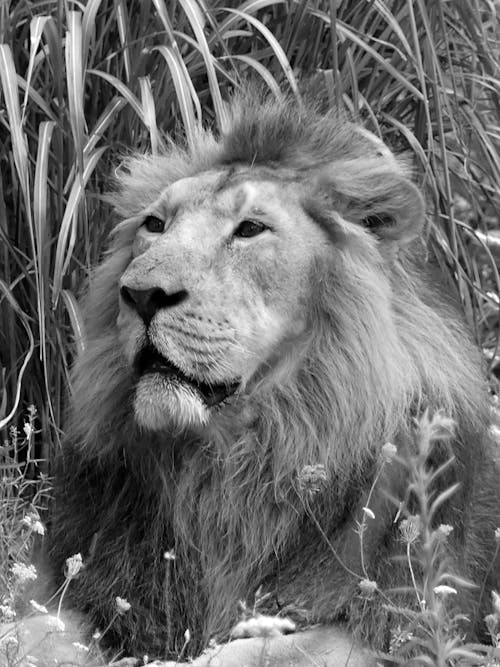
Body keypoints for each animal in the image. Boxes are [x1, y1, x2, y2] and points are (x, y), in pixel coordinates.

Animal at [45, 90, 498, 667]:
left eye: (250, 229)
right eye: (155, 225)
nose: (141, 294)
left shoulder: (404, 628)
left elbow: (254, 649)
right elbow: (44, 627)